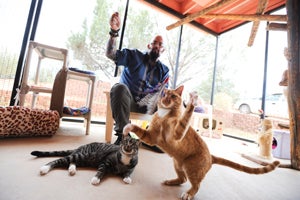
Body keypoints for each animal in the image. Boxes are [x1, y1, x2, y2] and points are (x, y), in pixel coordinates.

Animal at [122, 85, 282, 200]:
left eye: (172, 96)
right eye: (163, 94)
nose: (165, 100)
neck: (163, 114)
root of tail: (211, 157)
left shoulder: (177, 134)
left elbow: (186, 118)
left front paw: (193, 101)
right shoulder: (151, 137)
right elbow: (136, 128)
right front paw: (127, 128)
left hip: (191, 167)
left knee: (196, 185)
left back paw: (188, 194)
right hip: (178, 164)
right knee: (183, 179)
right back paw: (171, 182)